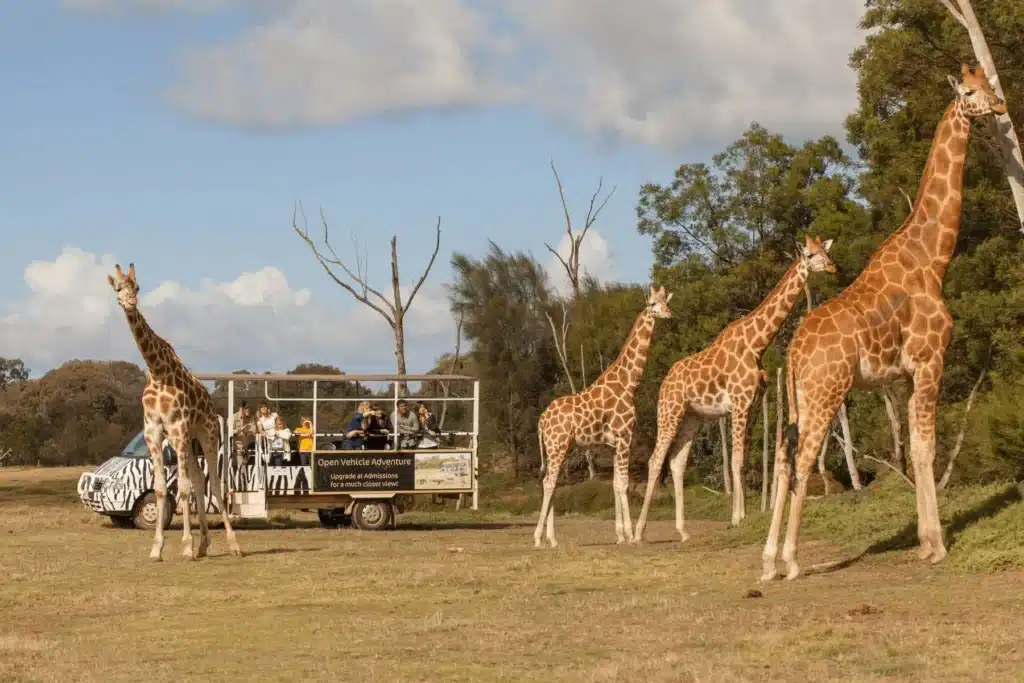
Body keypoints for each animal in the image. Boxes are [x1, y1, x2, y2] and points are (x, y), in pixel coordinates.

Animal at [108, 263, 242, 561]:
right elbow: (161, 489)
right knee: (198, 479)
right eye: (118, 288)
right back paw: (204, 545)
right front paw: (157, 548)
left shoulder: (178, 428)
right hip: (188, 441)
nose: (130, 303)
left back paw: (233, 545)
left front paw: (186, 547)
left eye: (137, 286)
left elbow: (182, 487)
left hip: (205, 434)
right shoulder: (155, 431)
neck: (158, 372)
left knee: (214, 483)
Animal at [533, 285, 674, 548]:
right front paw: (630, 535)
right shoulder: (625, 437)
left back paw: (553, 539)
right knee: (548, 482)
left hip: (562, 447)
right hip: (556, 446)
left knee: (553, 483)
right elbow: (625, 484)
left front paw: (620, 535)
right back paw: (538, 538)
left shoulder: (613, 444)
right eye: (652, 303)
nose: (668, 314)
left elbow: (616, 484)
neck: (629, 383)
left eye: (666, 301)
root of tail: (541, 421)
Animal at [632, 235, 837, 543]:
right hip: (669, 412)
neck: (757, 343)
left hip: (692, 417)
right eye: (811, 255)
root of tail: (664, 383)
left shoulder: (751, 405)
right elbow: (737, 458)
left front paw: (742, 515)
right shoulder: (739, 403)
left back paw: (683, 531)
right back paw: (638, 533)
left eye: (826, 250)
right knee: (656, 460)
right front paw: (738, 517)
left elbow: (741, 458)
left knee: (677, 463)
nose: (832, 267)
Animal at [760, 64, 1006, 582]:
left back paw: (769, 562)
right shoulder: (931, 360)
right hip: (828, 392)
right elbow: (927, 449)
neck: (933, 259)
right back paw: (791, 562)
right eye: (969, 90)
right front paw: (937, 547)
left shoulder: (907, 373)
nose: (1000, 106)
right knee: (805, 459)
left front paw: (925, 543)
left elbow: (913, 448)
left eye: (987, 84)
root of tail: (793, 351)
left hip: (799, 400)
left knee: (785, 460)